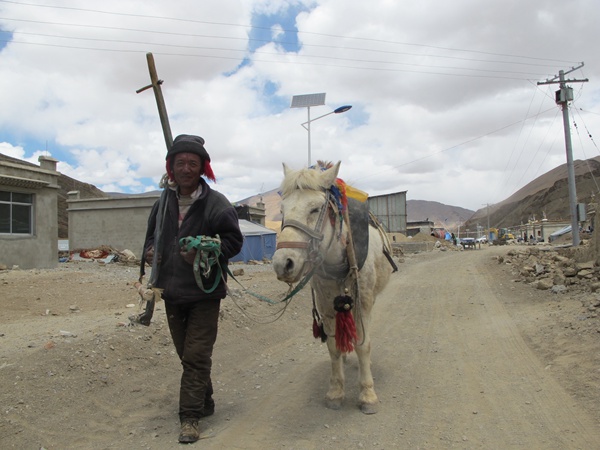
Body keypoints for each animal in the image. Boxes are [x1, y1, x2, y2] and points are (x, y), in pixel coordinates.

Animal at [270, 160, 394, 414]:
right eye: (283, 211)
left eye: (315, 209)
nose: (282, 263)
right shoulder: (326, 304)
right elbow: (332, 347)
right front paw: (336, 392)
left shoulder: (363, 302)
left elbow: (363, 345)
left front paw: (367, 395)